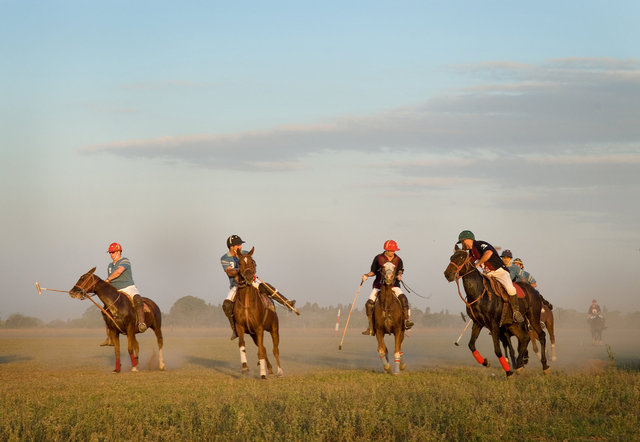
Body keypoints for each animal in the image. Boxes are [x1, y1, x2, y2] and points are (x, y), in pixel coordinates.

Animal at [234, 247, 282, 378]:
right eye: (240, 263)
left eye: (253, 262)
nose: (249, 277)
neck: (246, 302)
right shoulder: (240, 326)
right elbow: (242, 344)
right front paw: (245, 368)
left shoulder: (259, 328)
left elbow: (261, 351)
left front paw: (262, 374)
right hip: (253, 334)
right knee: (264, 348)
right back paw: (270, 370)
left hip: (274, 328)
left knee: (275, 349)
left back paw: (279, 371)